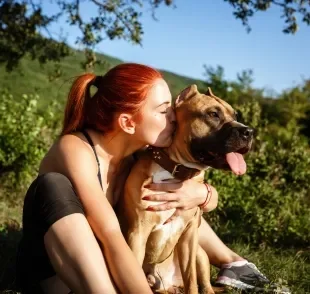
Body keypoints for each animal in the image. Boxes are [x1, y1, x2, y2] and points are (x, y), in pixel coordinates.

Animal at [117, 85, 253, 294]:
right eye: (213, 114)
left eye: (235, 115)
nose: (249, 132)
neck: (175, 171)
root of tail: (169, 283)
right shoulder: (137, 234)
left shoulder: (189, 237)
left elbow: (191, 279)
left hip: (200, 255)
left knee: (203, 283)